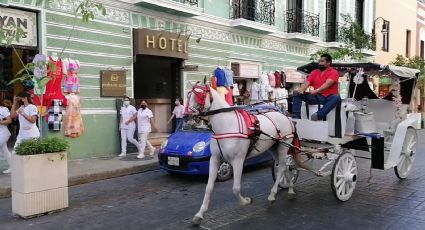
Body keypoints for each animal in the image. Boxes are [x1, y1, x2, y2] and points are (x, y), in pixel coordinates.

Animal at [187, 83, 296, 226]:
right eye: (188, 95)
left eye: (200, 95)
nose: (187, 116)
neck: (227, 125)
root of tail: (285, 115)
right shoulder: (214, 159)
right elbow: (209, 188)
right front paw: (199, 214)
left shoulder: (238, 160)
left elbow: (236, 188)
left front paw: (246, 201)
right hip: (274, 148)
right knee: (284, 166)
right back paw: (290, 188)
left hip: (284, 146)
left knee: (283, 166)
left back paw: (272, 195)